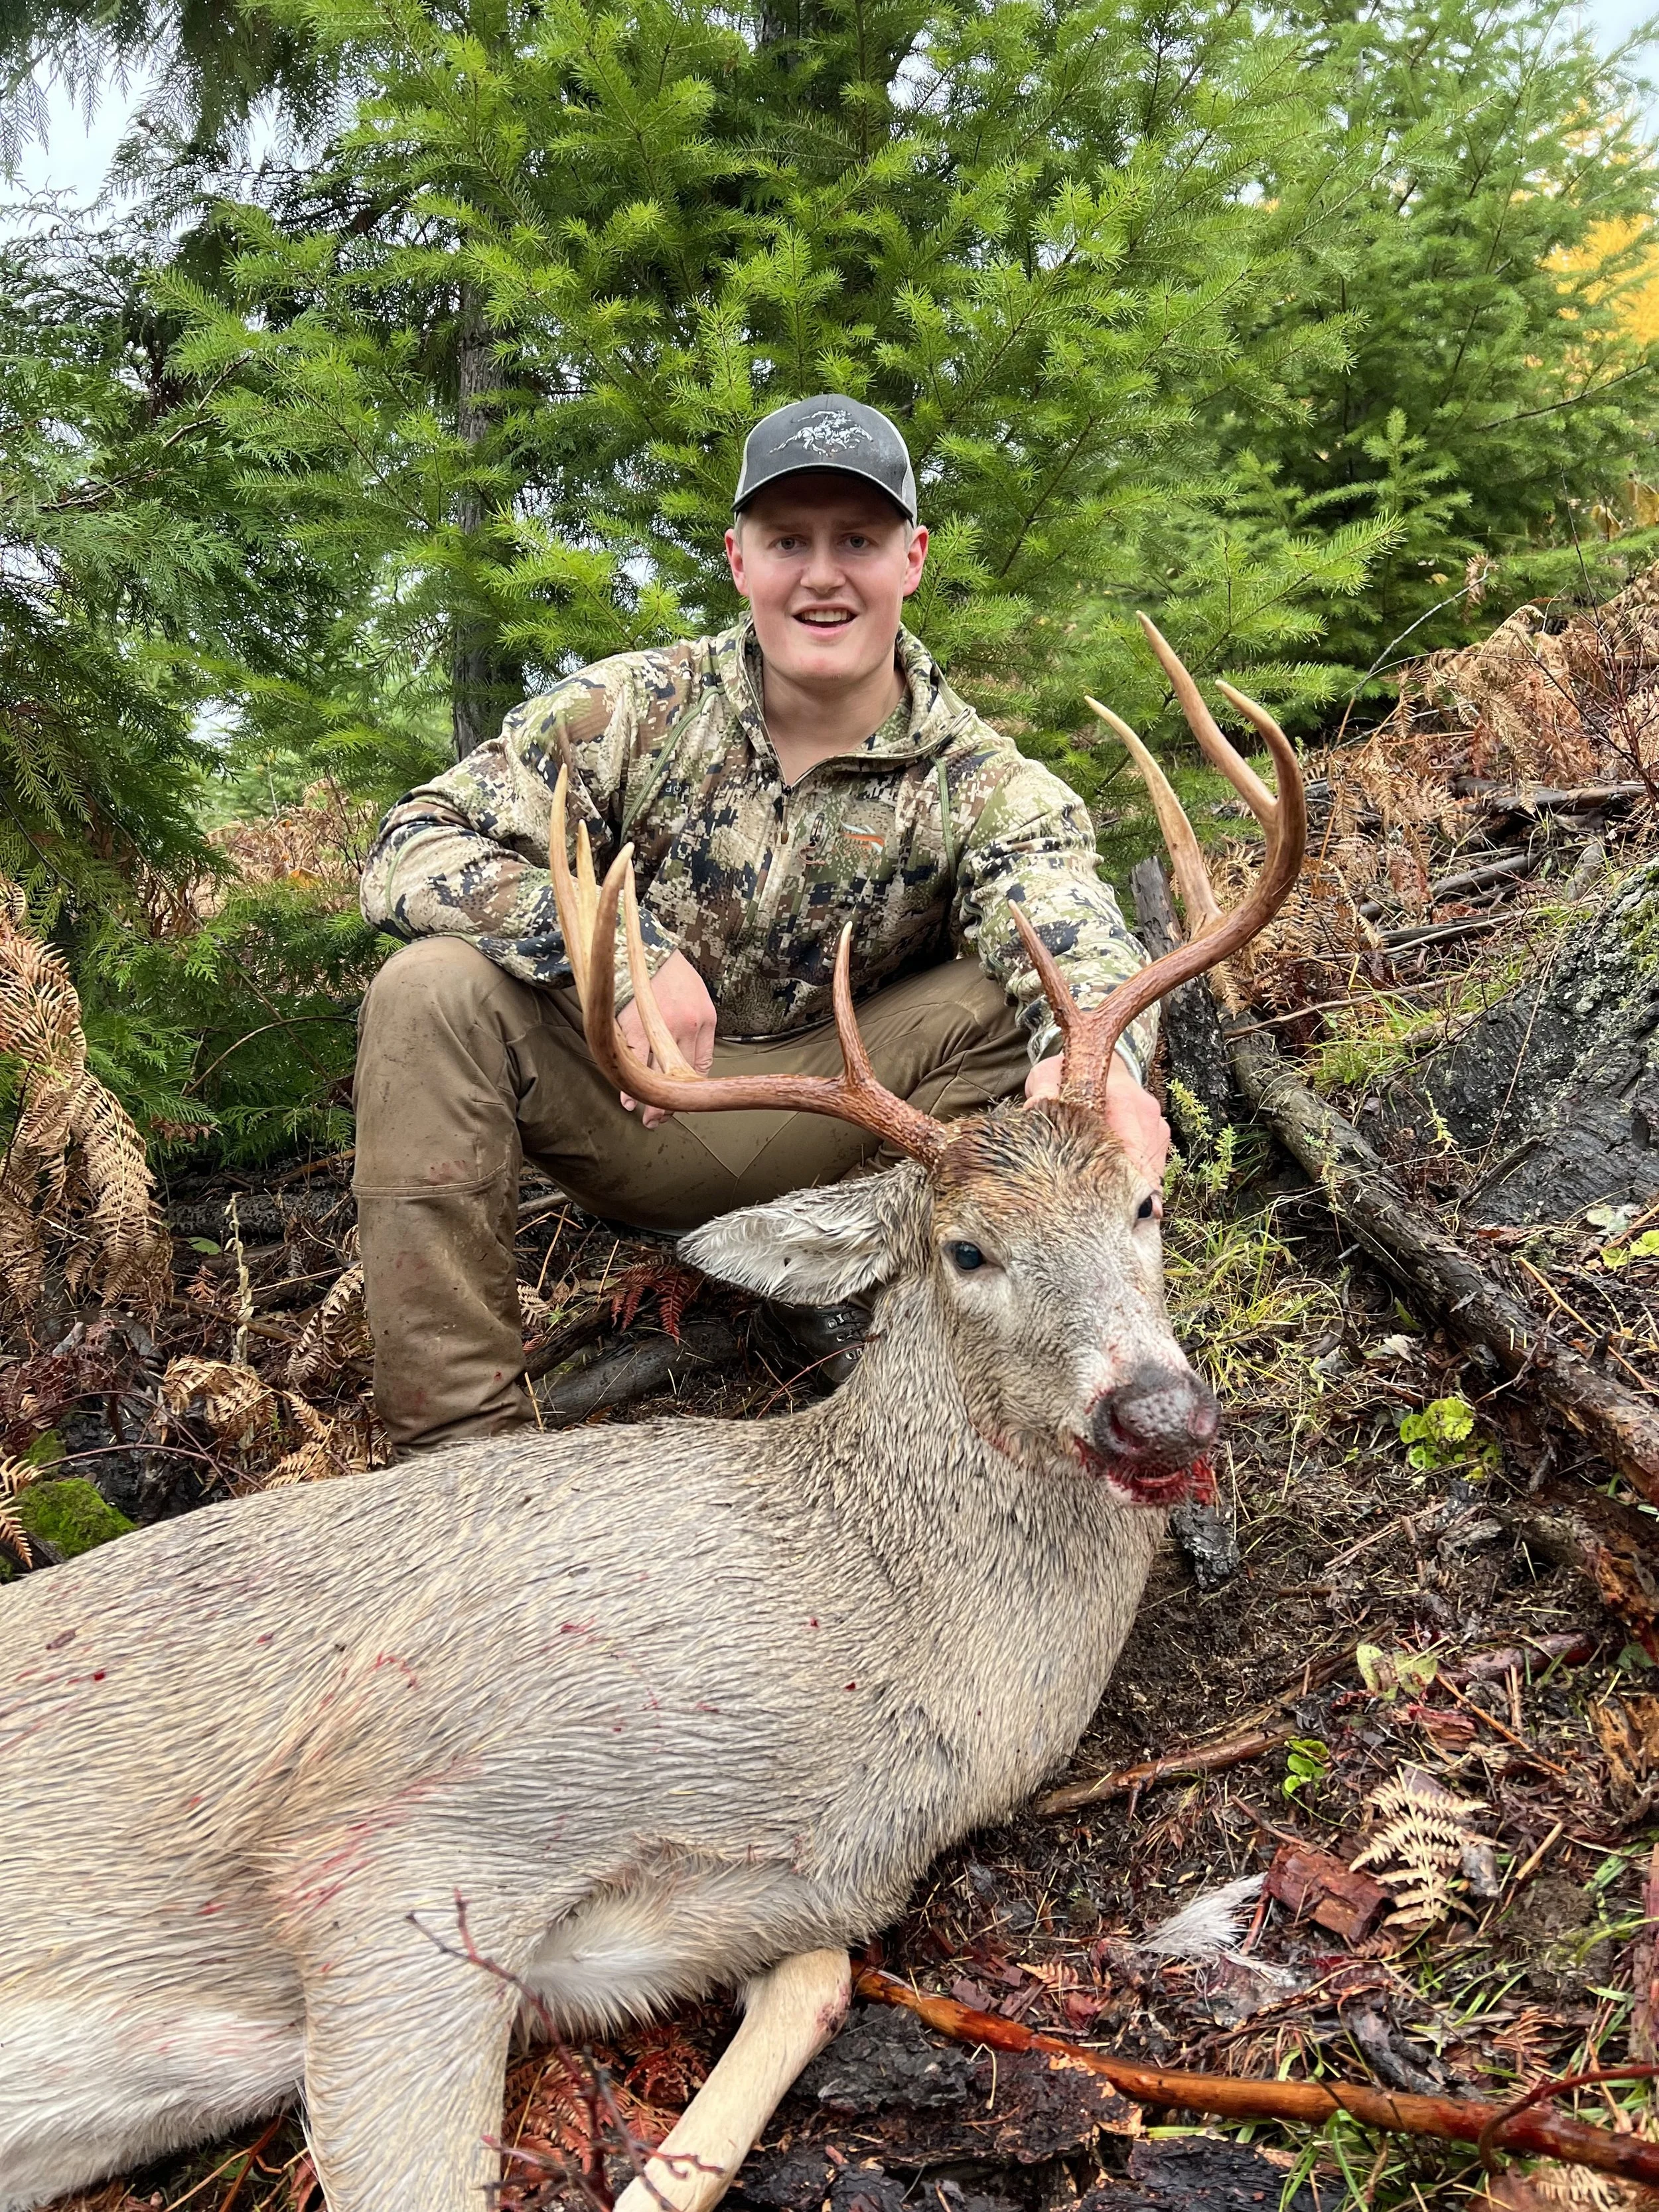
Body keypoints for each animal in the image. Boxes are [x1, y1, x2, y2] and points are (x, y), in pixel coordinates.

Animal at [0, 619, 1304, 2212]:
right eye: (964, 1250)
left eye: (1146, 1202)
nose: (1158, 1414)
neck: (873, 1650)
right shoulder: (397, 1829)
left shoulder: (718, 1907)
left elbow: (812, 1977)